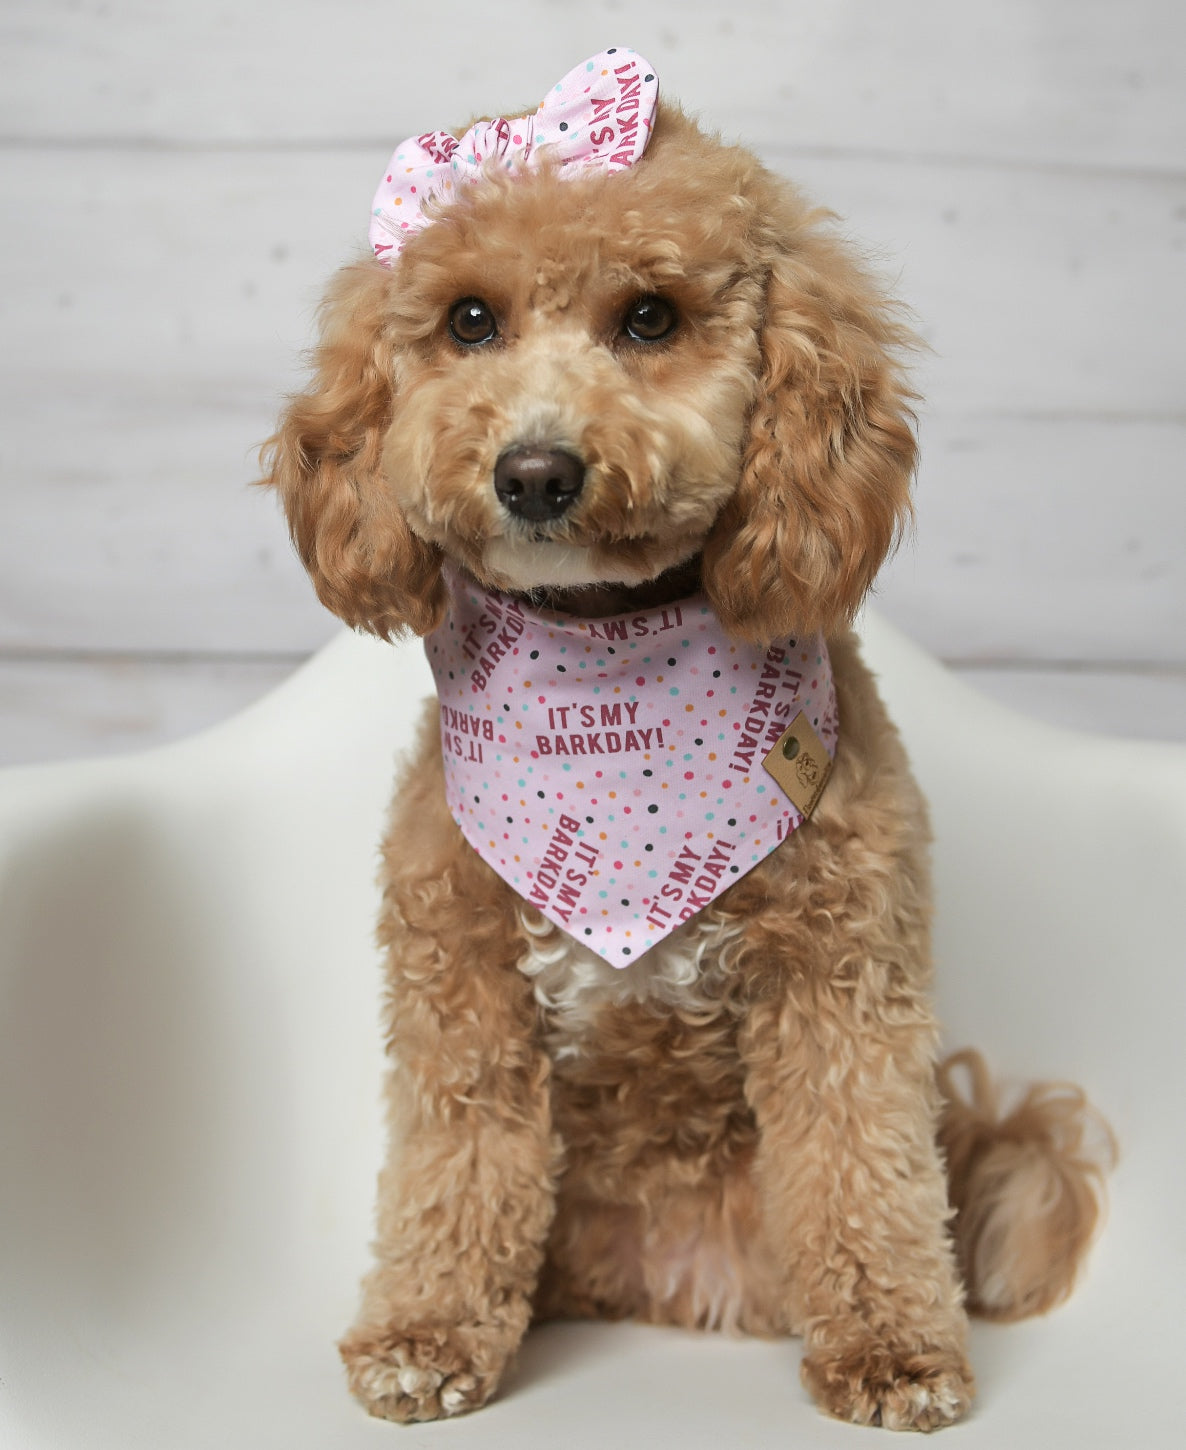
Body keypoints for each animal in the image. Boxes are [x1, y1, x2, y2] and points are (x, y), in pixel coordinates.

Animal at [258, 51, 1107, 1432]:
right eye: (470, 322)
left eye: (649, 319)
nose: (535, 471)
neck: (608, 672)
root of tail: (662, 1284)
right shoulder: (462, 987)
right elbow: (456, 1162)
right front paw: (424, 1334)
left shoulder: (841, 977)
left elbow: (863, 1162)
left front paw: (894, 1351)